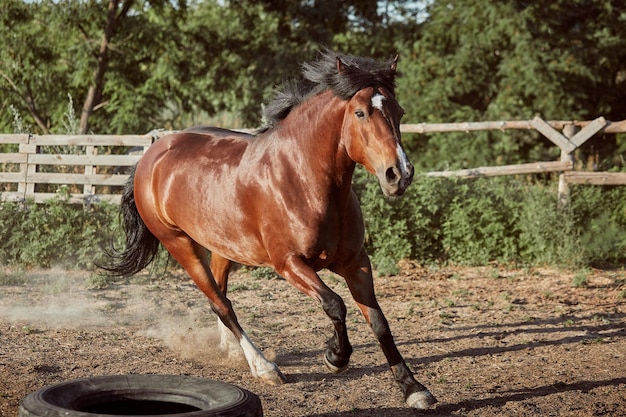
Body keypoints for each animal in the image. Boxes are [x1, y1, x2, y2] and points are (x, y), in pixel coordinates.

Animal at [103, 50, 434, 408]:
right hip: (179, 244)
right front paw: (335, 357)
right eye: (360, 112)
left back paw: (235, 352)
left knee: (220, 296)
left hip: (223, 246)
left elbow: (379, 322)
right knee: (222, 305)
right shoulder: (289, 264)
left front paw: (414, 389)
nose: (399, 174)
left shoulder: (355, 262)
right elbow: (335, 304)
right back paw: (264, 368)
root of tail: (151, 155)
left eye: (398, 112)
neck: (303, 179)